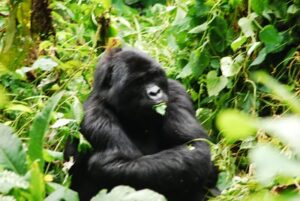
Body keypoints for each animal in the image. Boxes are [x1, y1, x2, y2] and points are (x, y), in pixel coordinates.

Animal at [64, 47, 217, 201]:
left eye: (153, 76)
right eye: (138, 81)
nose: (155, 92)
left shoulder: (176, 92)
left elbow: (194, 145)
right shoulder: (94, 116)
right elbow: (111, 164)